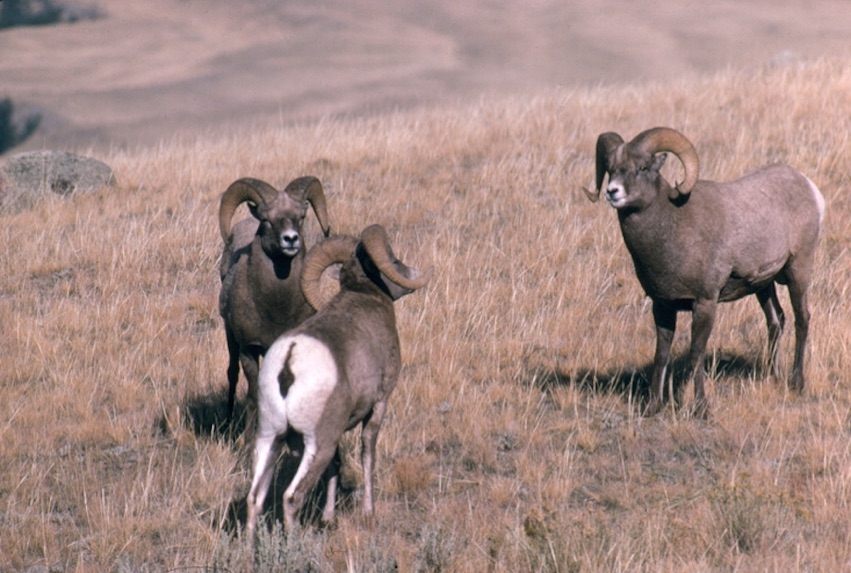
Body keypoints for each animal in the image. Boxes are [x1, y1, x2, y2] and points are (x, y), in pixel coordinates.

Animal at [218, 177, 332, 422]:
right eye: (266, 220)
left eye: (301, 217)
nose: (290, 239)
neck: (277, 309)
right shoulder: (249, 350)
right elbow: (254, 396)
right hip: (230, 336)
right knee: (232, 373)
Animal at [246, 222, 432, 532]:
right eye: (393, 260)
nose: (412, 272)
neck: (365, 297)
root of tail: (289, 362)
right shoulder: (379, 403)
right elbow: (367, 454)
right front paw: (368, 511)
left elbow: (336, 467)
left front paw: (328, 517)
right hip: (317, 444)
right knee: (292, 498)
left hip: (270, 437)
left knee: (254, 499)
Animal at [588, 126, 824, 416]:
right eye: (611, 169)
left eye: (642, 167)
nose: (613, 192)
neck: (674, 227)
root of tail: (808, 186)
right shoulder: (662, 306)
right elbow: (661, 354)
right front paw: (653, 406)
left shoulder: (705, 303)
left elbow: (696, 353)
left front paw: (700, 407)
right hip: (763, 286)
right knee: (776, 321)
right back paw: (774, 377)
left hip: (798, 271)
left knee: (803, 318)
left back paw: (796, 383)